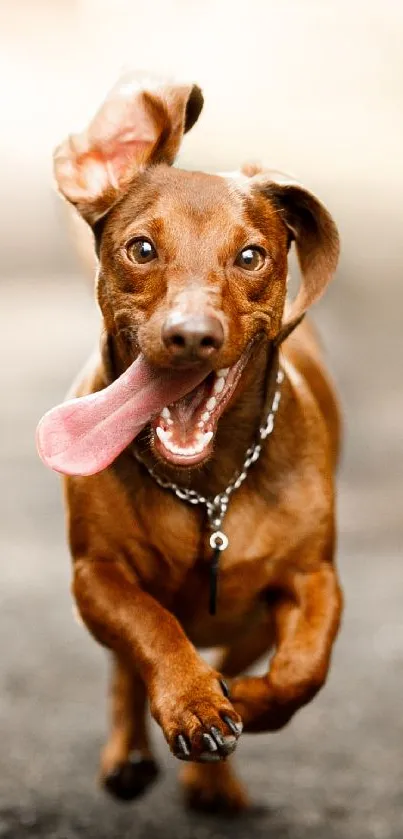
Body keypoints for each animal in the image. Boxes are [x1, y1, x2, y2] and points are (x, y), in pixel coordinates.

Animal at [35, 74, 344, 812]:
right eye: (141, 248)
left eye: (251, 256)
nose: (191, 335)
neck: (207, 487)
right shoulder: (95, 576)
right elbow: (151, 628)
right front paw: (192, 701)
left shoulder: (314, 579)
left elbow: (302, 671)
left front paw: (244, 703)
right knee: (125, 669)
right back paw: (128, 753)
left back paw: (213, 777)